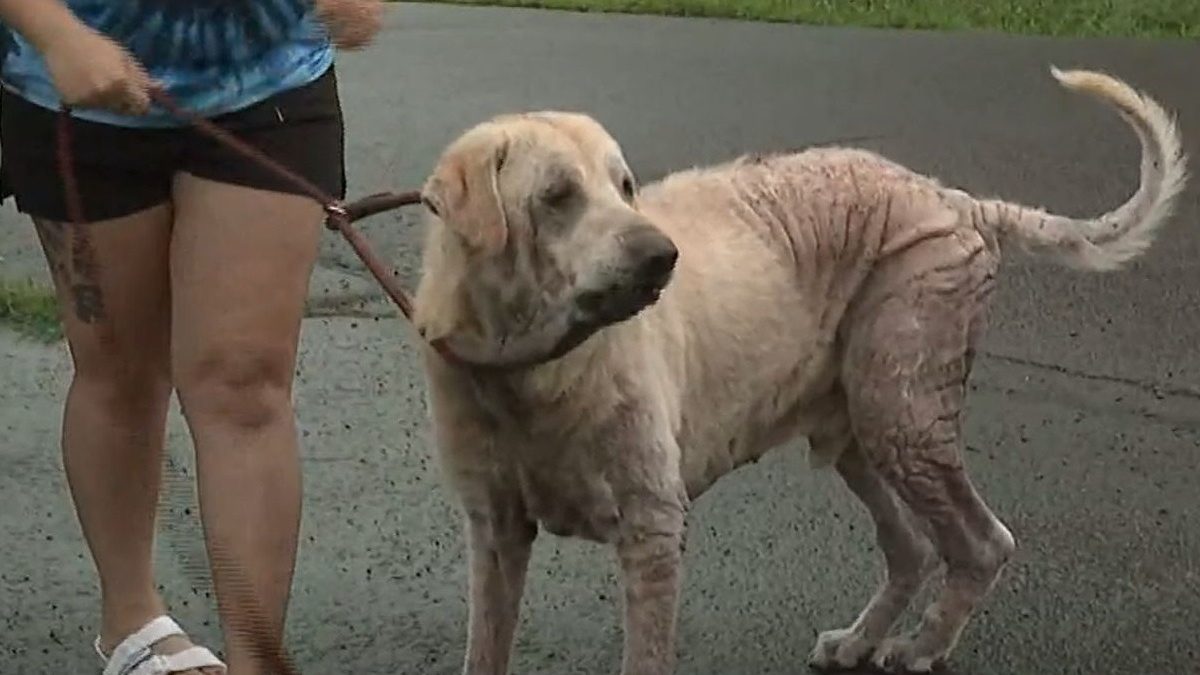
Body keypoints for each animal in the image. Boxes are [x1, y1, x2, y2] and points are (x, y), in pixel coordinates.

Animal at [408, 66, 1185, 672]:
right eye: (556, 196)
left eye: (623, 185)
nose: (663, 257)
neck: (530, 369)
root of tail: (956, 199)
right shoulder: (495, 534)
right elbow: (486, 648)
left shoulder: (652, 532)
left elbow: (646, 654)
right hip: (860, 431)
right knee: (910, 546)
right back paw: (860, 641)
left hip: (901, 410)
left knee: (982, 544)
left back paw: (921, 647)